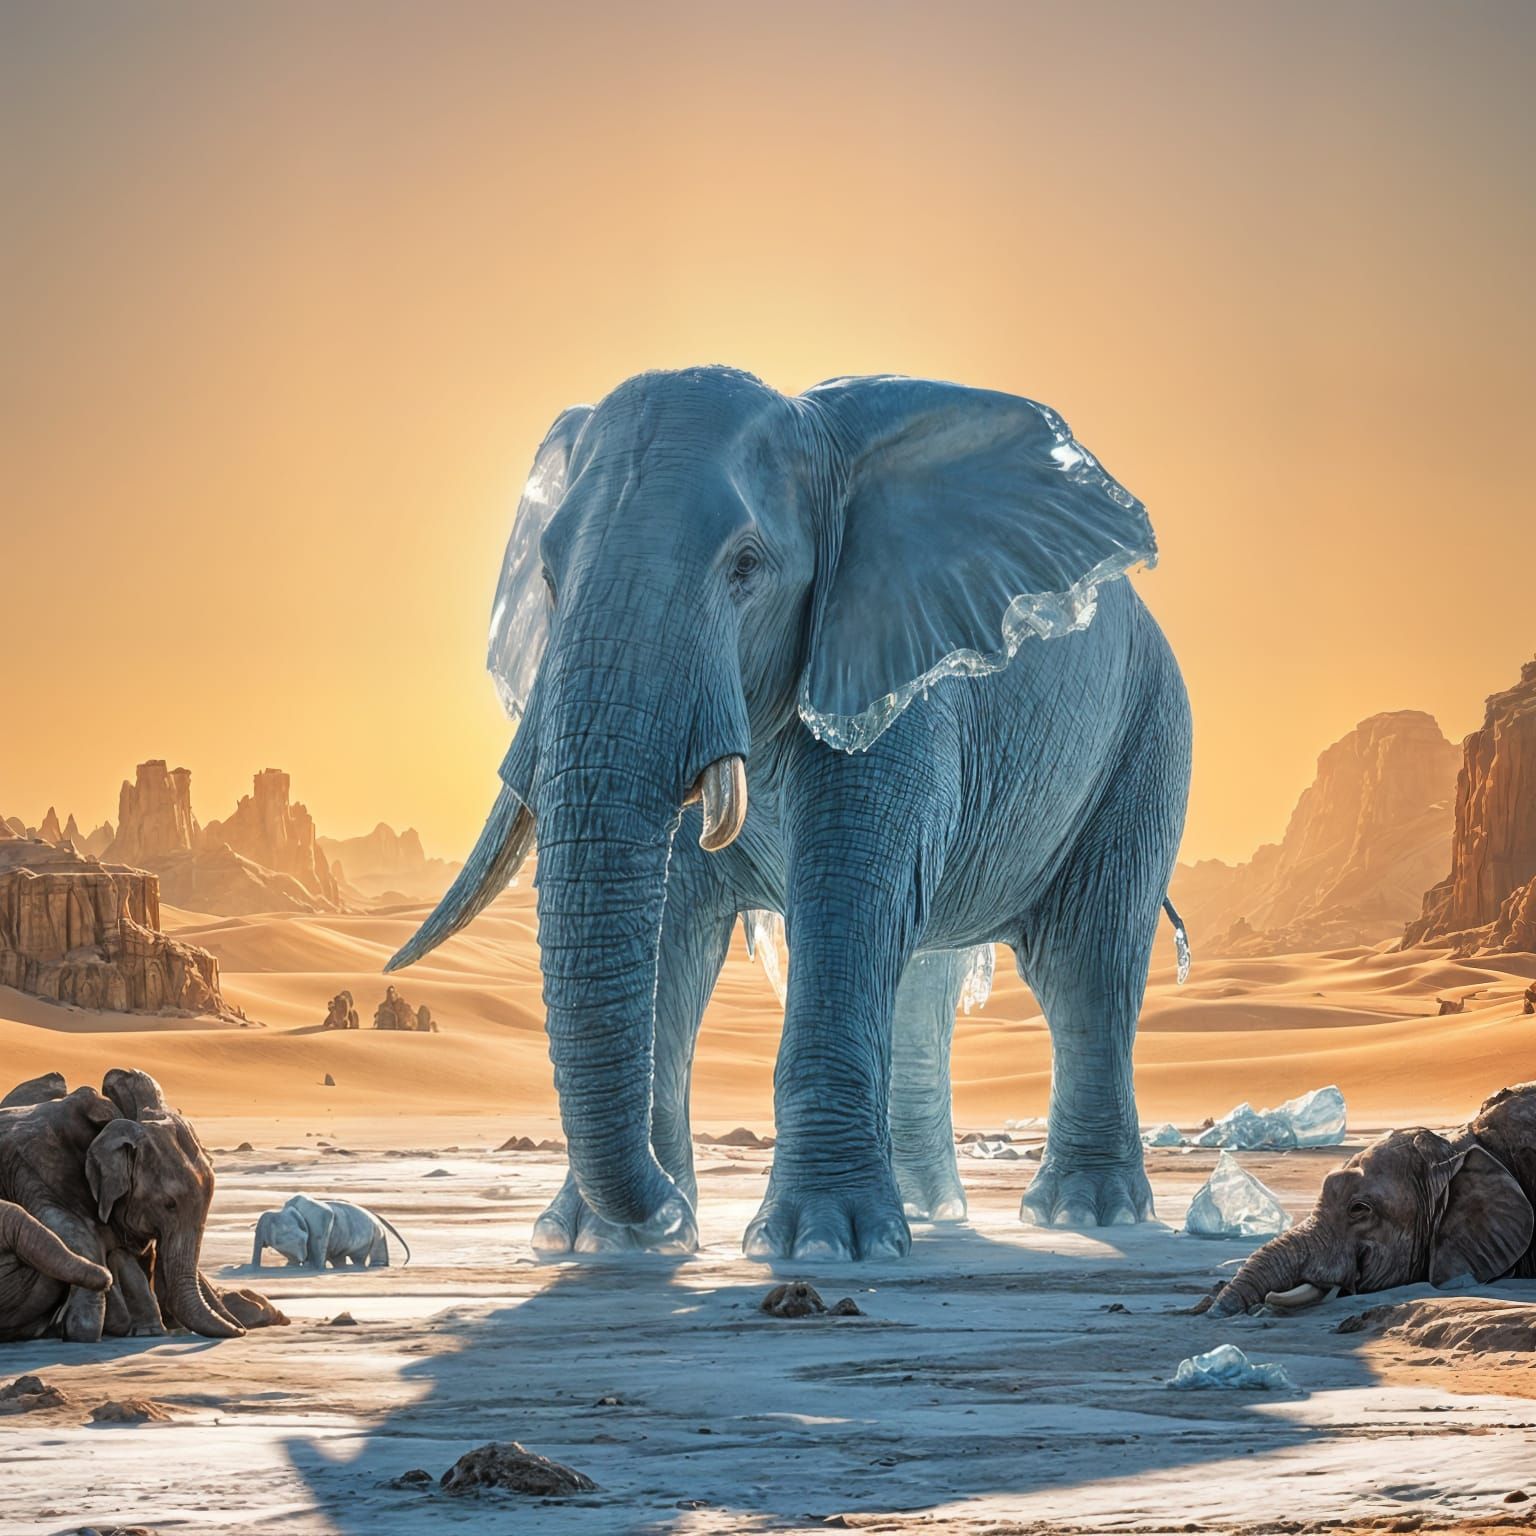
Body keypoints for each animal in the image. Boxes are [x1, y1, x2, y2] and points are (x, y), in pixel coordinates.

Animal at [389, 366, 1192, 1261]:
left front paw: (821, 1245)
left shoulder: (896, 680)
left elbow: (846, 903)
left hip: (1148, 736)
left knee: (1085, 964)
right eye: (548, 577)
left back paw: (1088, 1214)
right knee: (928, 983)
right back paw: (936, 1214)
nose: (664, 1212)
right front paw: (609, 1242)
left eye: (745, 567)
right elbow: (673, 926)